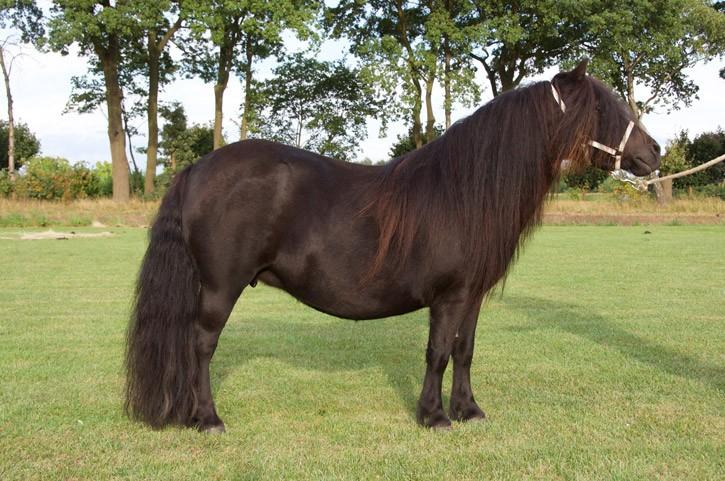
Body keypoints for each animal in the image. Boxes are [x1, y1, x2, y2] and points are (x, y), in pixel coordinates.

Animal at [125, 60, 660, 432]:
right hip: (220, 288)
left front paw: (469, 410)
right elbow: (438, 353)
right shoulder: (448, 297)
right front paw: (434, 416)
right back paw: (208, 418)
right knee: (201, 345)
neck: (462, 191)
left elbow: (465, 350)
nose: (654, 152)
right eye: (601, 109)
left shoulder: (471, 296)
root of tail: (198, 168)